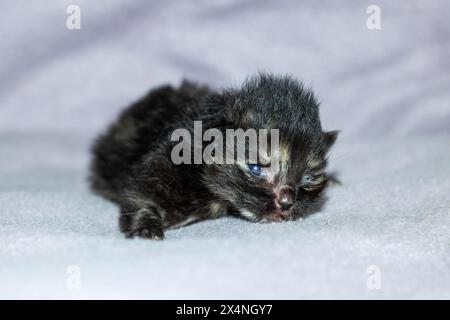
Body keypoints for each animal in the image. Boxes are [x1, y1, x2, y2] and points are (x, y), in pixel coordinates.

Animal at [89, 74, 338, 239]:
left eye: (308, 179)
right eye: (256, 168)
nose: (287, 202)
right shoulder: (166, 158)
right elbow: (141, 193)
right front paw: (145, 227)